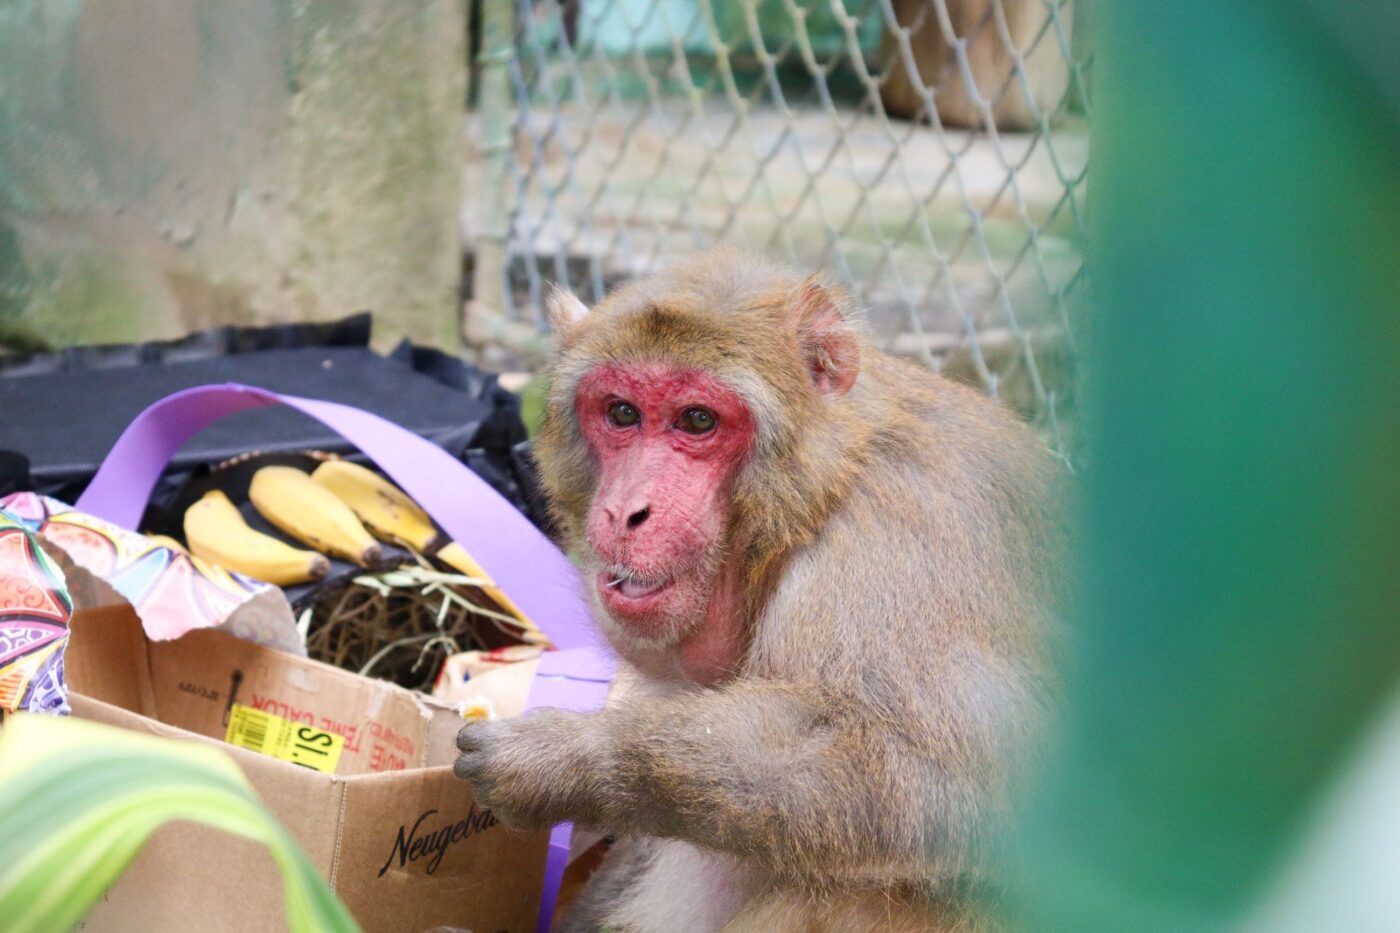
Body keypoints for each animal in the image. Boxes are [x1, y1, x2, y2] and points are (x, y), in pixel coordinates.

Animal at [456, 243, 1058, 924]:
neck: (816, 499)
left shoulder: (908, 533)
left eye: (697, 420)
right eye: (622, 413)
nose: (625, 512)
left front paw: (571, 761)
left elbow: (940, 778)